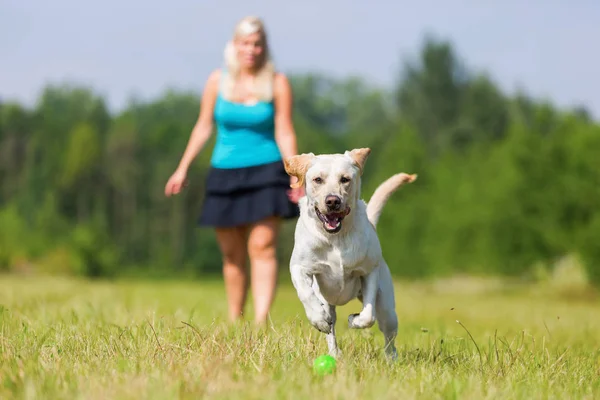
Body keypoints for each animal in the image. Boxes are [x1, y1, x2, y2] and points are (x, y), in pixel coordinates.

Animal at [282, 148, 414, 360]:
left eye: (345, 179)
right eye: (317, 179)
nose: (332, 201)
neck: (336, 238)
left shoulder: (369, 271)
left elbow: (368, 315)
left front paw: (354, 319)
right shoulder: (299, 267)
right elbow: (306, 294)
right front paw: (318, 319)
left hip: (387, 308)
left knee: (388, 335)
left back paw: (390, 359)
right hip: (328, 302)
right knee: (331, 327)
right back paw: (334, 353)